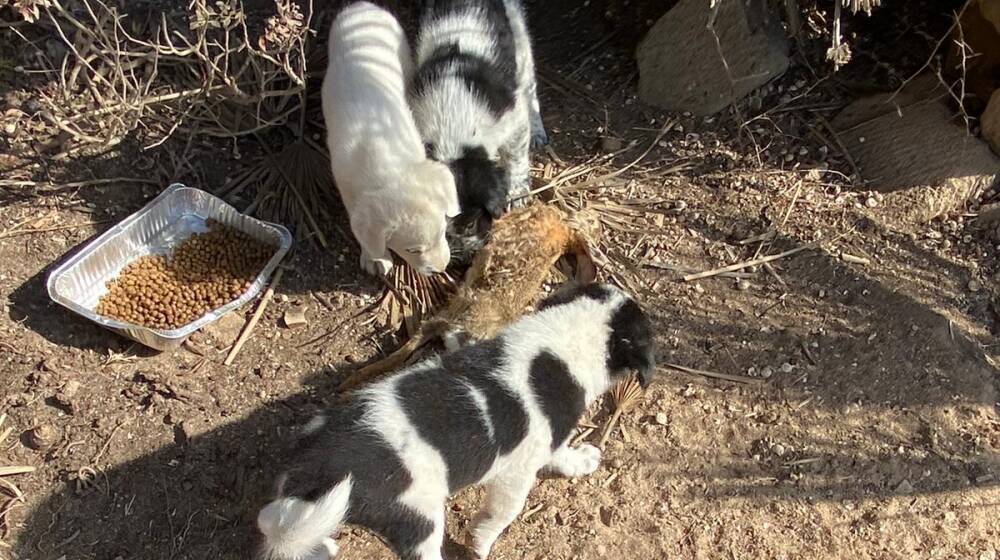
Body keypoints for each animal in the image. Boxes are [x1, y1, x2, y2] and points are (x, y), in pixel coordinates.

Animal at [254, 284, 652, 560]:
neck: (561, 339)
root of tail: (321, 471)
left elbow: (562, 454)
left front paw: (582, 460)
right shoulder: (516, 473)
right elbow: (502, 514)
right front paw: (481, 543)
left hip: (313, 502)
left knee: (284, 527)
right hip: (419, 520)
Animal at [320, 1, 460, 276]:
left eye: (442, 231)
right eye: (413, 250)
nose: (441, 269)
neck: (384, 162)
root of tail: (362, 6)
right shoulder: (348, 190)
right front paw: (375, 257)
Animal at [406, 0, 548, 236]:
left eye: (471, 222)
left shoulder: (513, 116)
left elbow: (516, 156)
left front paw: (517, 192)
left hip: (520, 40)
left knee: (531, 87)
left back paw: (539, 132)